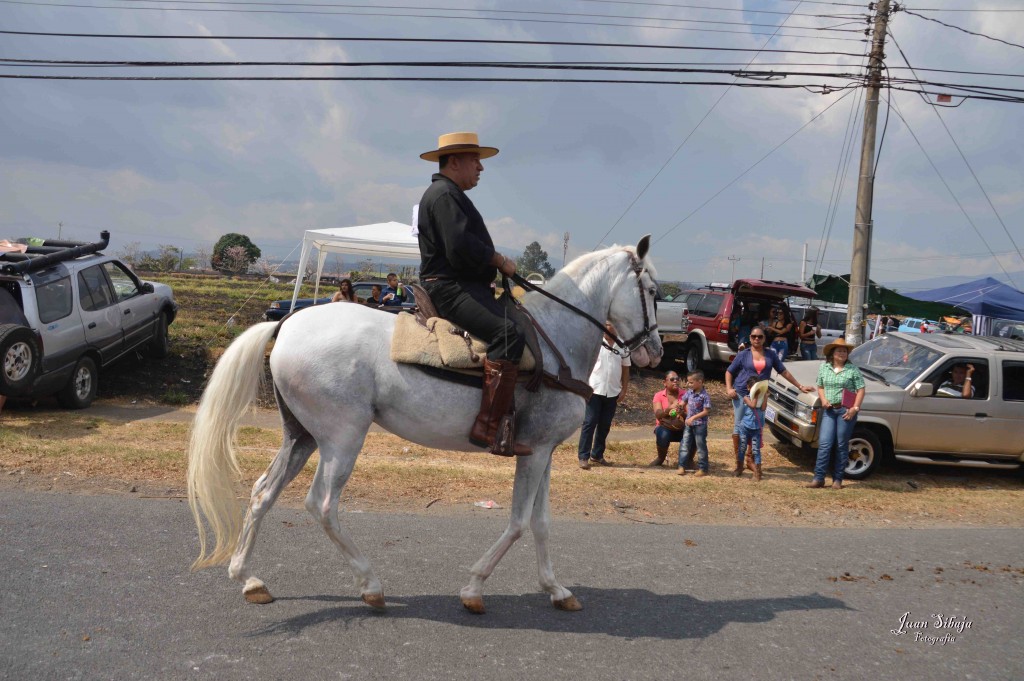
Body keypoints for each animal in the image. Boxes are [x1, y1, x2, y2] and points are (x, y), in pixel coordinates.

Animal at [187, 236, 659, 614]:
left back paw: (249, 579)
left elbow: (541, 523)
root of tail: (286, 323)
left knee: (262, 493)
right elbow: (519, 523)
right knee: (321, 505)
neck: (555, 343)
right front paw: (474, 589)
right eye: (653, 291)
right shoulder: (535, 453)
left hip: (302, 437)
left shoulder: (542, 451)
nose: (653, 350)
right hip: (342, 437)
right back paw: (370, 586)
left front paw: (557, 591)